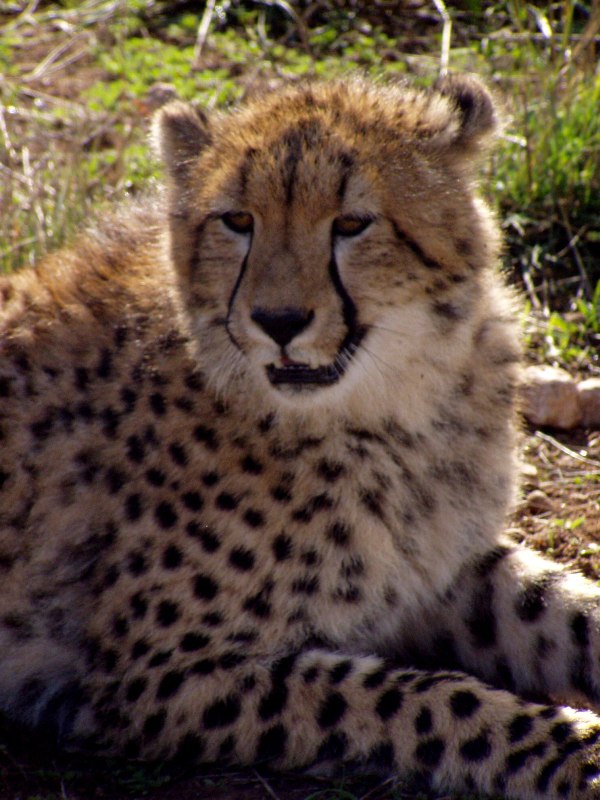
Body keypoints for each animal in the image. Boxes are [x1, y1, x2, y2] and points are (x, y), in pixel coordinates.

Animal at [1, 73, 600, 800]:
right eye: (237, 221)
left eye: (351, 223)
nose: (279, 320)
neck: (391, 410)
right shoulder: (157, 673)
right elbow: (425, 701)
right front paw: (582, 753)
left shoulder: (436, 568)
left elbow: (562, 606)